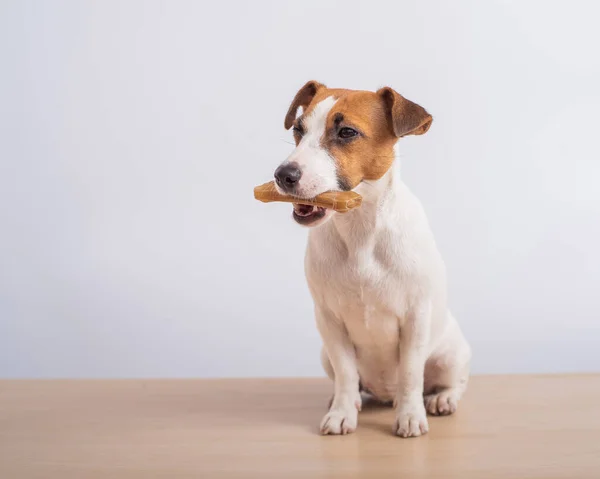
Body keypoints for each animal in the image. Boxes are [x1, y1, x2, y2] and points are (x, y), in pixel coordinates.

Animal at [274, 80, 474, 436]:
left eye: (347, 132)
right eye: (298, 129)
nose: (283, 175)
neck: (360, 230)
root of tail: (384, 395)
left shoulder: (415, 319)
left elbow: (411, 373)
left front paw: (410, 415)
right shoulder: (330, 322)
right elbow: (345, 372)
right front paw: (342, 412)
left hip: (451, 354)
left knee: (450, 382)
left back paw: (441, 399)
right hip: (325, 353)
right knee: (353, 382)